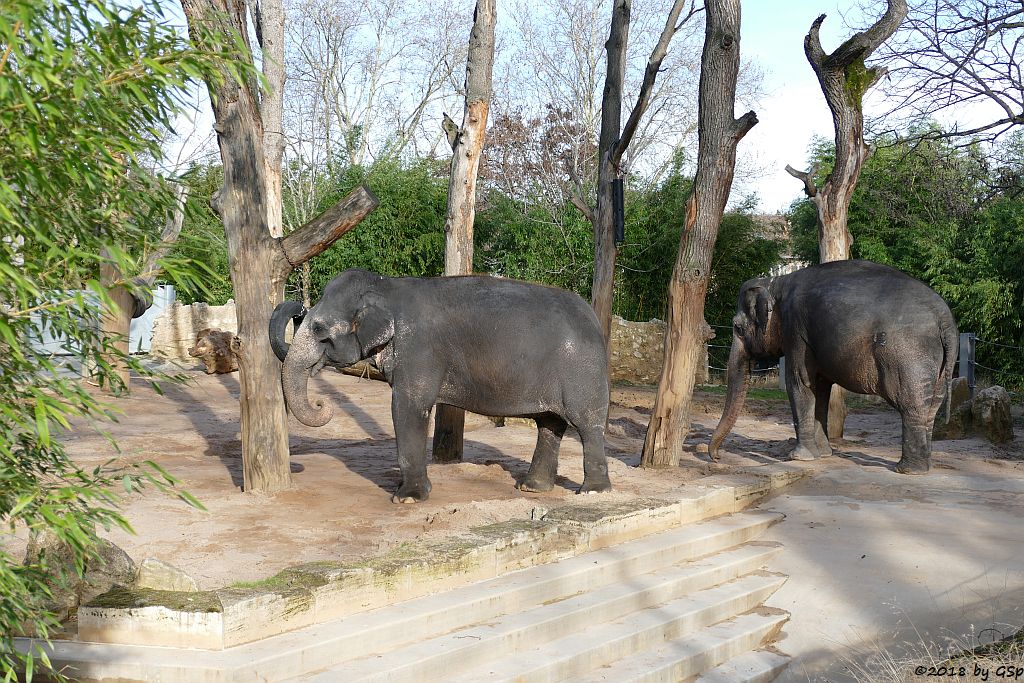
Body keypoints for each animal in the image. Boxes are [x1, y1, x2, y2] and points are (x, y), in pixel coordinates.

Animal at [708, 259, 954, 473]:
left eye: (737, 328)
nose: (718, 457)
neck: (776, 282)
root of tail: (946, 319)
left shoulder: (796, 331)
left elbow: (800, 382)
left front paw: (799, 457)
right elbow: (821, 389)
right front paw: (824, 454)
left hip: (908, 355)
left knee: (911, 405)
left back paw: (908, 470)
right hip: (939, 365)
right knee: (931, 407)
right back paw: (923, 466)